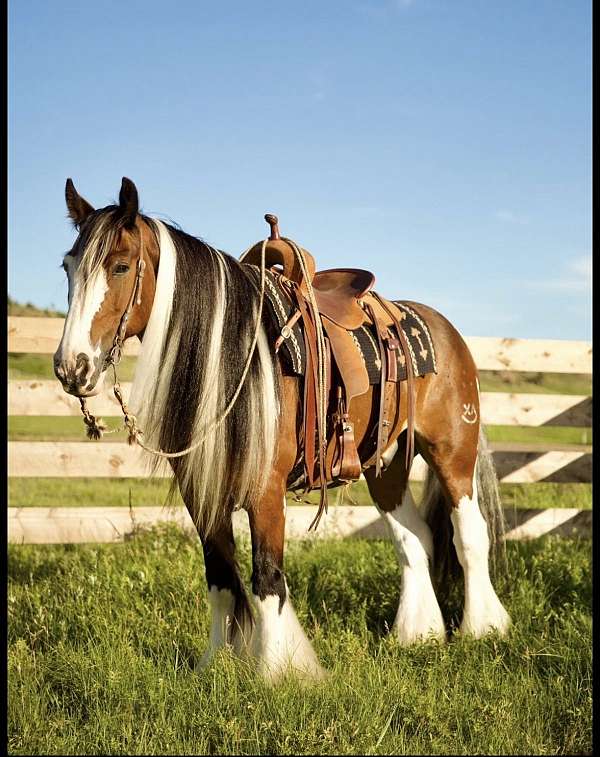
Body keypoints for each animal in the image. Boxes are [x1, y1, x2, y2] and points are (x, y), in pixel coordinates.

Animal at [53, 176, 511, 682]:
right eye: (68, 267)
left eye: (120, 266)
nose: (71, 368)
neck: (233, 357)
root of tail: (446, 331)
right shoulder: (202, 491)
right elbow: (221, 576)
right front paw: (215, 664)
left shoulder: (265, 490)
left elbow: (267, 576)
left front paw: (278, 672)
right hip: (384, 466)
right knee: (414, 539)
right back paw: (417, 633)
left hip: (453, 453)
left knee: (469, 533)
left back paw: (482, 628)